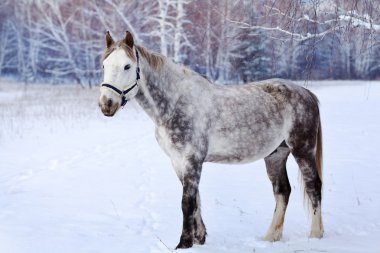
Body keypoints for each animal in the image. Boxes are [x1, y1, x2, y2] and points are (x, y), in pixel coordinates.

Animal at [98, 31, 324, 249]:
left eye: (127, 66)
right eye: (104, 65)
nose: (106, 104)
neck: (176, 103)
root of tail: (306, 93)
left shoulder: (192, 160)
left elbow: (187, 202)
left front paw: (184, 243)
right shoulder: (178, 161)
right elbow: (196, 199)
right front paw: (199, 238)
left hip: (302, 150)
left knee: (314, 187)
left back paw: (315, 235)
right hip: (275, 155)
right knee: (282, 191)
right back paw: (270, 237)